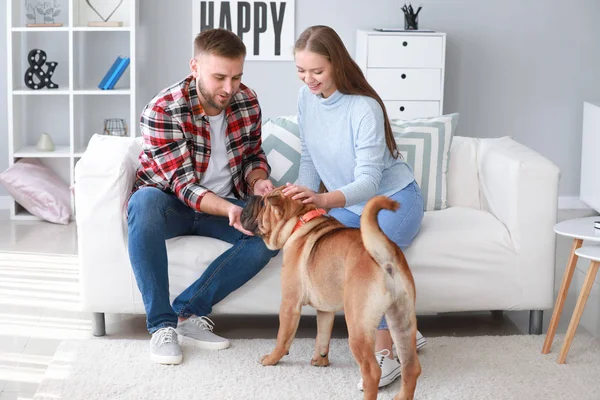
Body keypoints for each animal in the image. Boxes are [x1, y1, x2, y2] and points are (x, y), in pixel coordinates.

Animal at [240, 188, 422, 400]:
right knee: (411, 366)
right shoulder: (325, 310)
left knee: (371, 371)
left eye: (263, 203)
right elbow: (323, 335)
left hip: (358, 326)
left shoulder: (289, 304)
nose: (251, 196)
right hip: (401, 319)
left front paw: (271, 359)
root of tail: (385, 256)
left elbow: (282, 338)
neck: (299, 221)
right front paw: (320, 361)